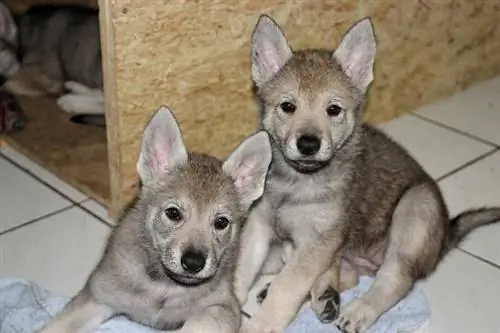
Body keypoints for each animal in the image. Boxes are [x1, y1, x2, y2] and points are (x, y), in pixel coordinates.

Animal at [38, 105, 274, 332]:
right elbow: (55, 327)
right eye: (173, 213)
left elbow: (200, 321)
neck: (164, 287)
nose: (193, 263)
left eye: (221, 222)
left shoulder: (225, 307)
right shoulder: (97, 297)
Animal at [233, 13, 500, 332]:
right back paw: (320, 294)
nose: (309, 144)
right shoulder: (259, 227)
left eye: (333, 110)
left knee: (394, 280)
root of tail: (446, 235)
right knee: (348, 274)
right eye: (288, 106)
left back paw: (359, 309)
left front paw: (260, 324)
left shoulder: (317, 242)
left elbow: (288, 286)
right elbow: (240, 271)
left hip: (415, 209)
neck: (296, 181)